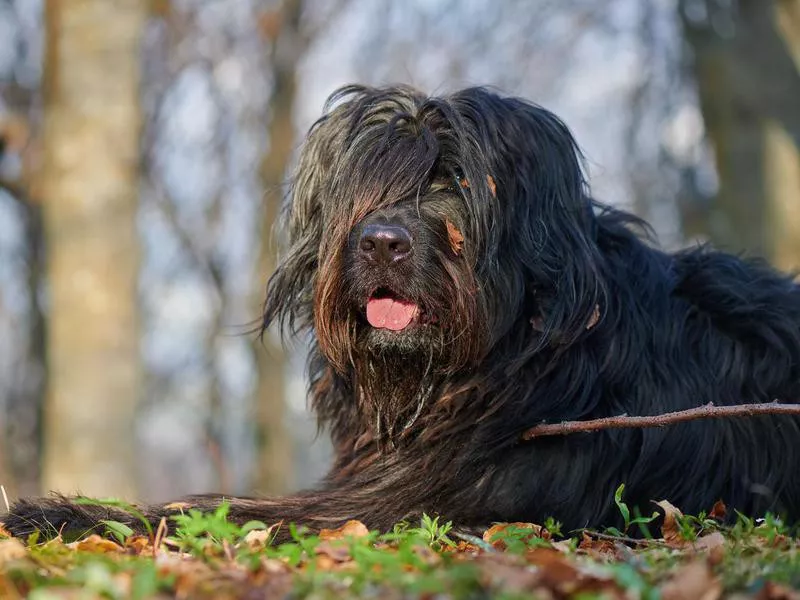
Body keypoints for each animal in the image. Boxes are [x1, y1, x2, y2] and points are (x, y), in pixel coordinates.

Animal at [4, 84, 800, 540]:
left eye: (458, 181)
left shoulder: (422, 502)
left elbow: (220, 508)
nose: (382, 242)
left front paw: (57, 513)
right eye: (365, 183)